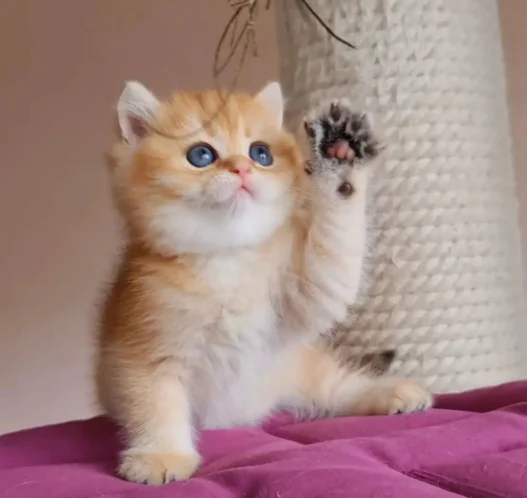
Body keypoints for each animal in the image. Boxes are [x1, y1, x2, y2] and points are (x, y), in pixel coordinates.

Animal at [96, 82, 434, 486]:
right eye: (201, 155)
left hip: (298, 368)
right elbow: (155, 404)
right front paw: (161, 455)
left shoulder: (307, 292)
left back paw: (393, 392)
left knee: (337, 390)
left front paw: (340, 153)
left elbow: (334, 261)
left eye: (261, 153)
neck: (227, 259)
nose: (242, 168)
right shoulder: (142, 346)